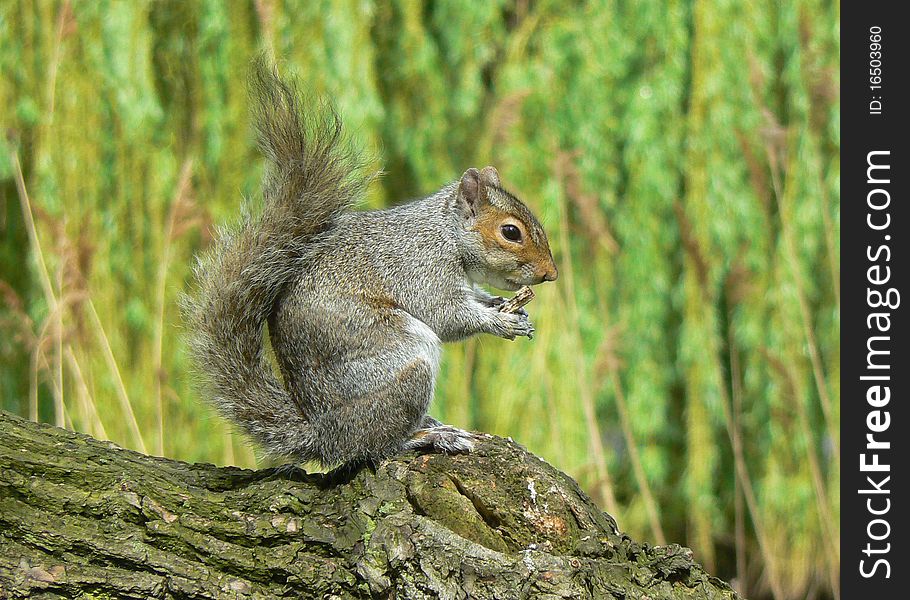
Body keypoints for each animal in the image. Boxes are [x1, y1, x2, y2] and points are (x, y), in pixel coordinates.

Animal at [183, 61, 560, 474]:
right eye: (511, 232)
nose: (551, 274)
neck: (444, 233)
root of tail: (323, 434)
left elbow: (474, 298)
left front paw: (507, 308)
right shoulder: (421, 268)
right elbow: (447, 316)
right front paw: (500, 322)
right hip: (401, 367)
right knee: (377, 444)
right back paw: (426, 436)